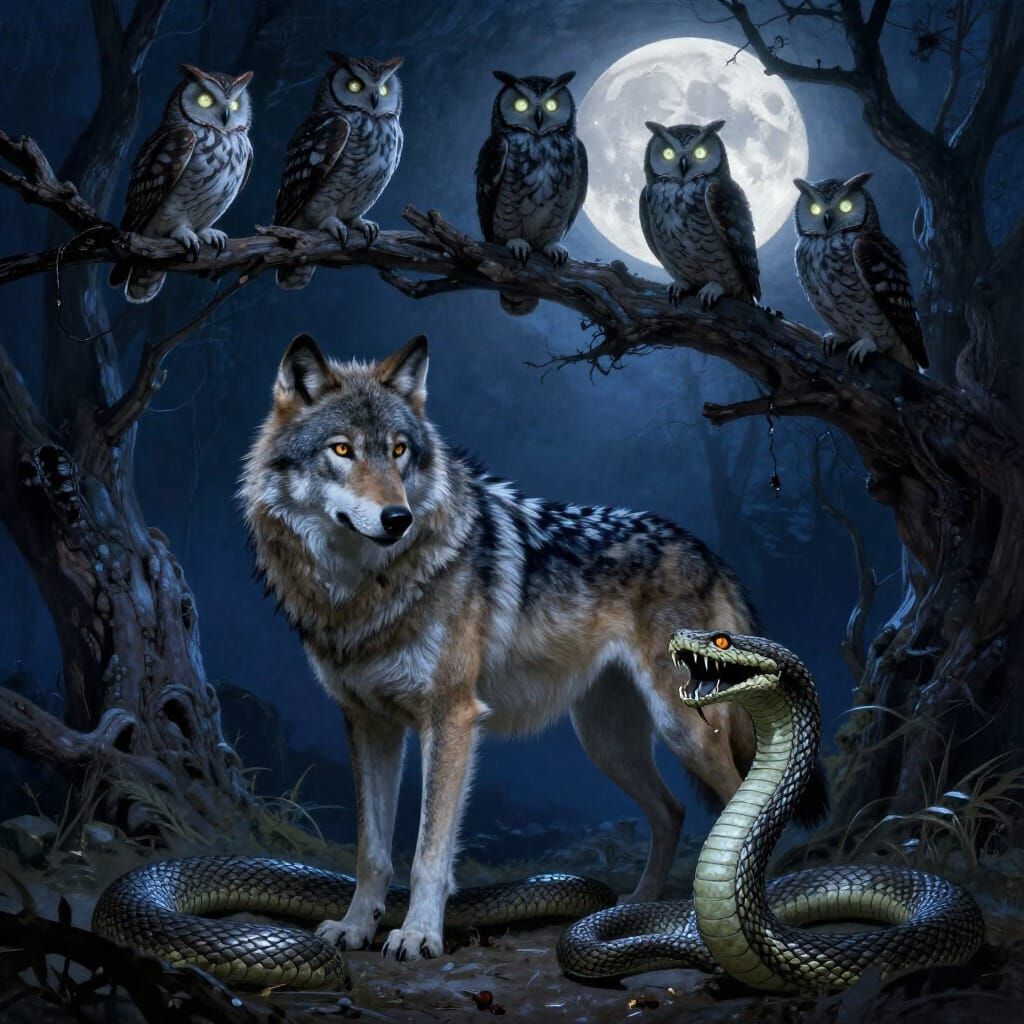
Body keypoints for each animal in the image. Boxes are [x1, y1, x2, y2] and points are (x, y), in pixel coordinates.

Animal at [241, 333, 826, 962]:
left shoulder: (450, 716)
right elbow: (371, 850)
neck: (362, 590)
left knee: (741, 809)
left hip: (684, 730)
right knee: (671, 812)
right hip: (606, 742)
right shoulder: (367, 721)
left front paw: (419, 934)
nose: (398, 518)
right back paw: (640, 905)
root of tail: (707, 551)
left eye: (399, 451)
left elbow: (428, 853)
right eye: (343, 450)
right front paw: (354, 927)